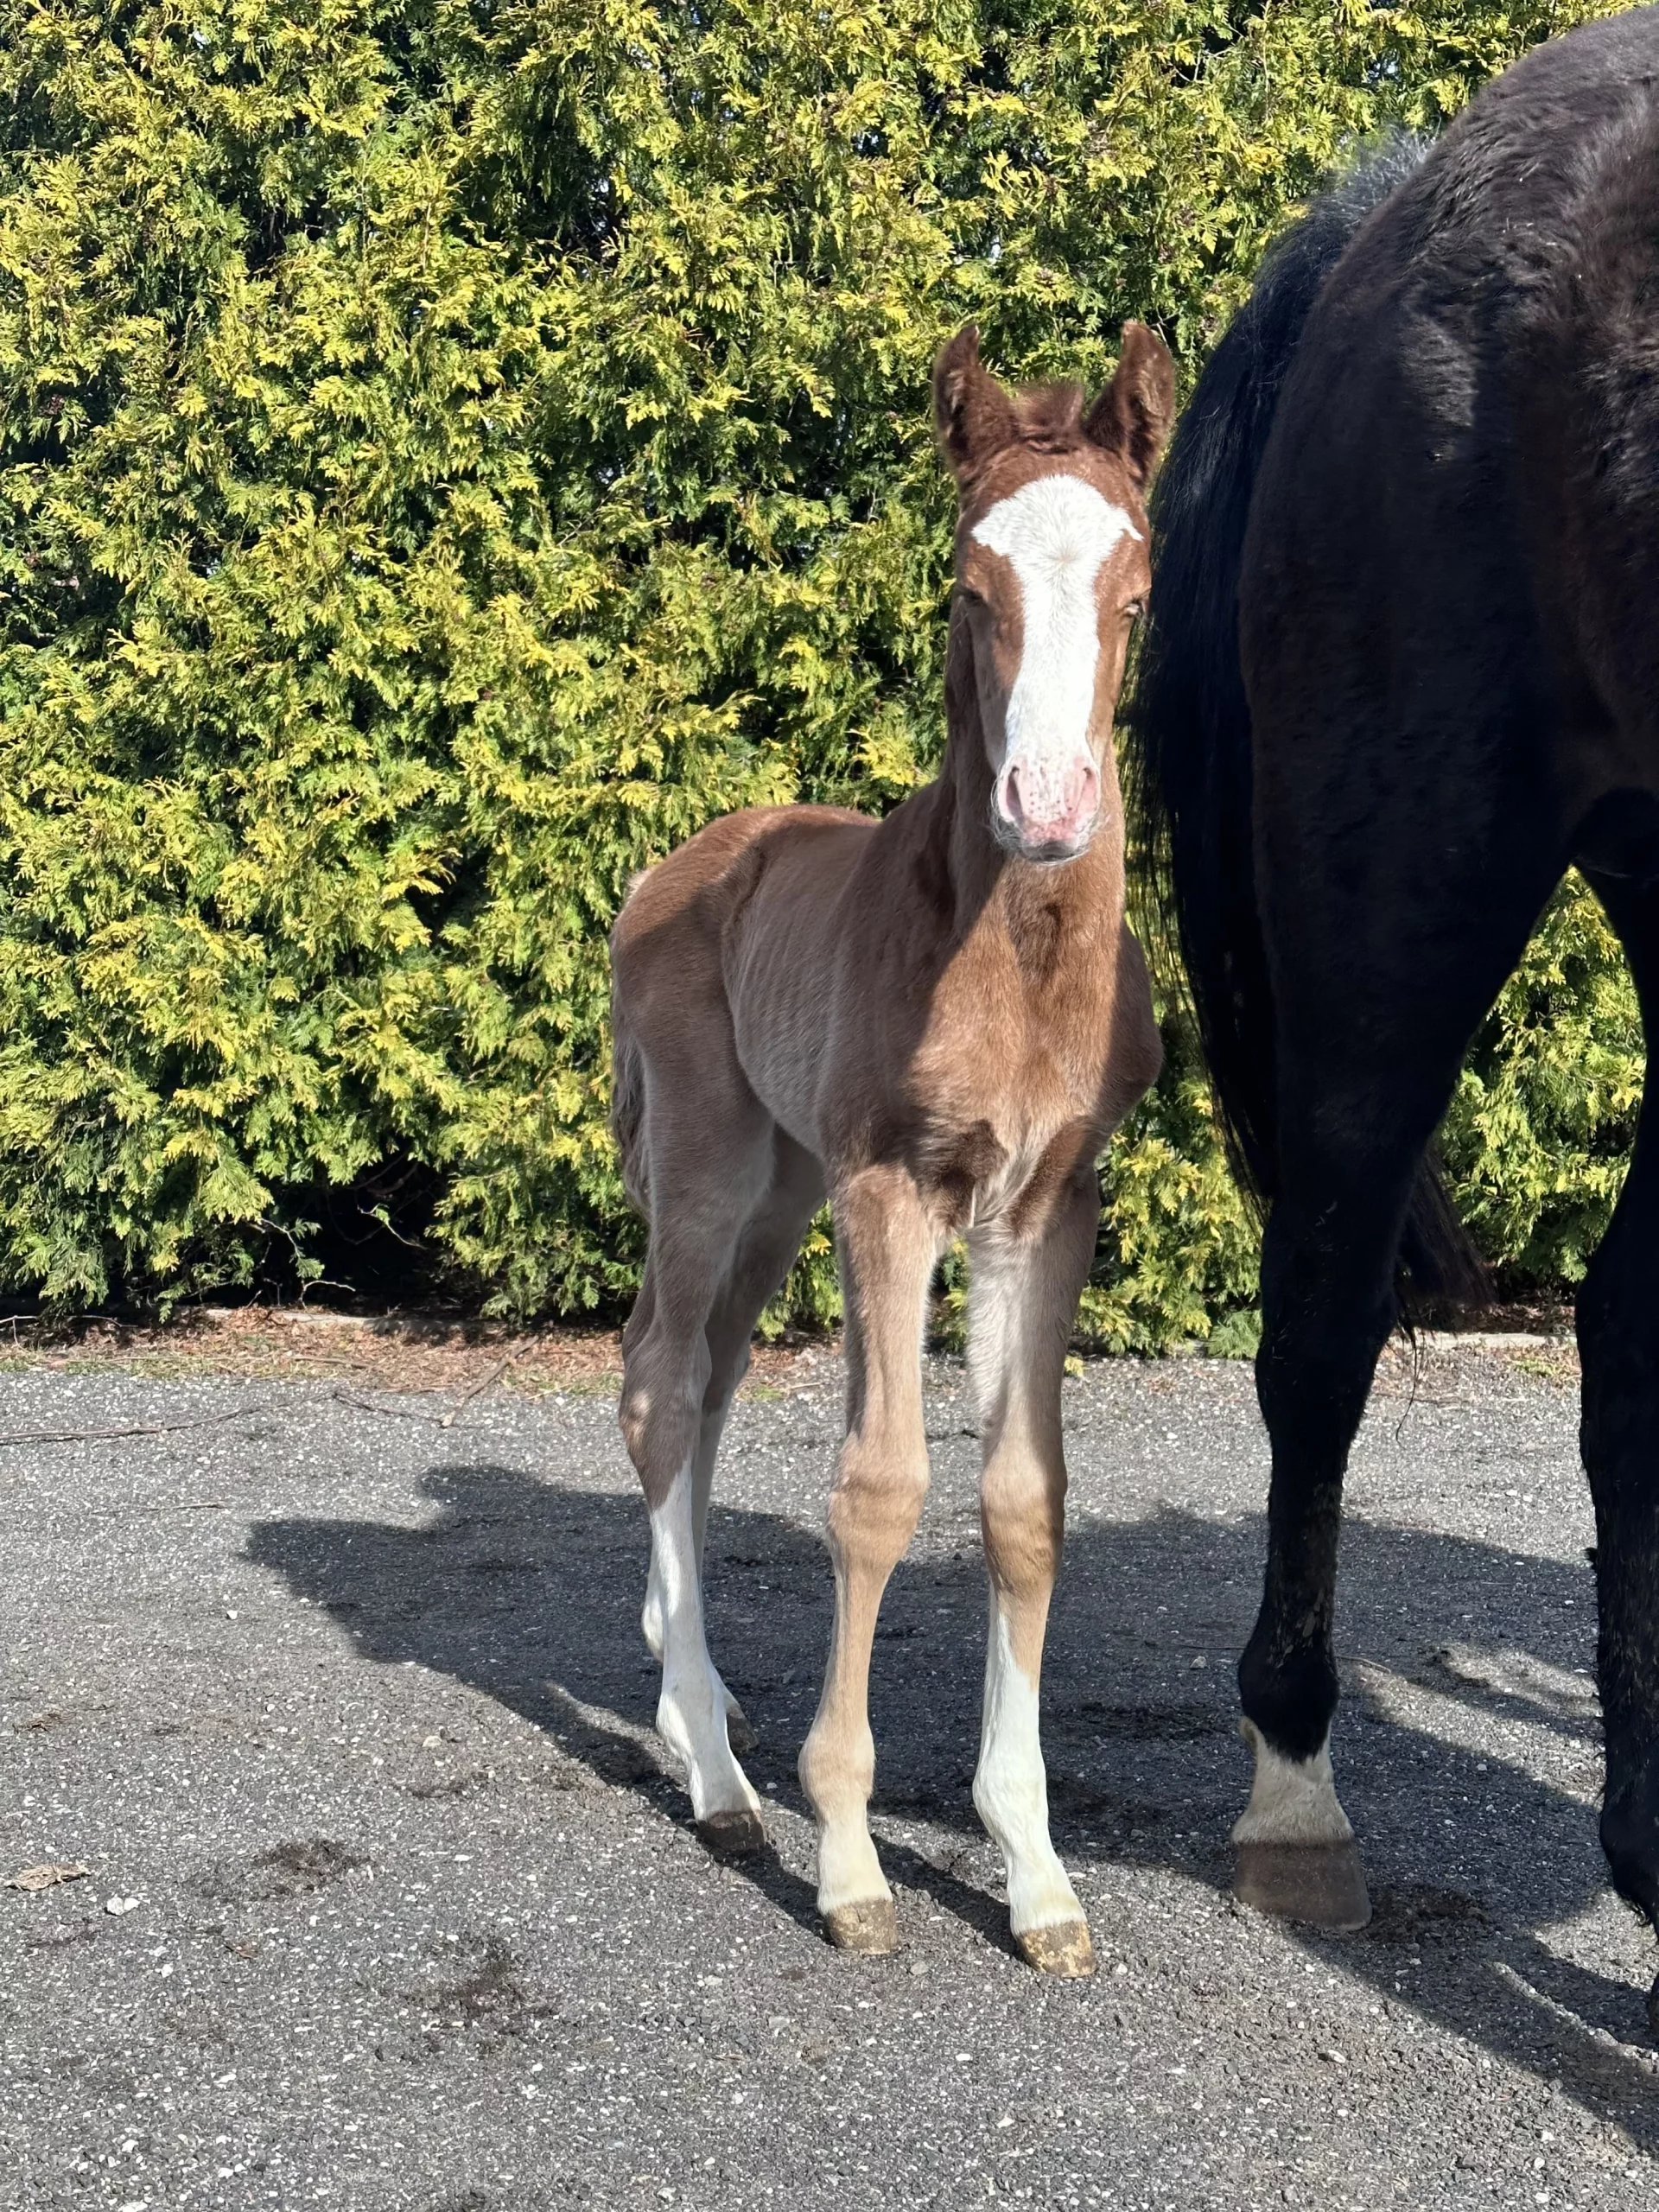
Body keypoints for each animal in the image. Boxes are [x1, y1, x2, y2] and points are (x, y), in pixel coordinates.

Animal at [608, 320, 1174, 1974]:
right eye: (968, 589)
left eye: (1136, 590)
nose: (1046, 807)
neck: (1019, 964)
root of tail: (672, 867)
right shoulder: (891, 1192)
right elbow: (876, 1491)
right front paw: (852, 1861)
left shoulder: (1042, 1207)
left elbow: (1022, 1502)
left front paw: (1036, 1876)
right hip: (714, 1166)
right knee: (659, 1388)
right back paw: (720, 1778)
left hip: (775, 1196)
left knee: (708, 1382)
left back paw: (691, 1695)